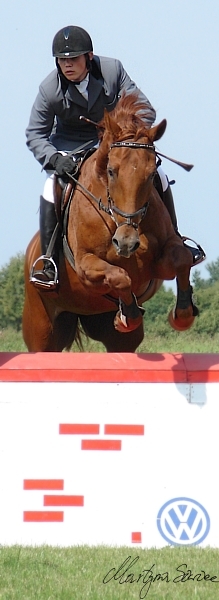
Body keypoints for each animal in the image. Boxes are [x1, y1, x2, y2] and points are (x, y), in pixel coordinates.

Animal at [22, 91, 198, 350]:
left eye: (151, 174)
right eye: (111, 171)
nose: (126, 243)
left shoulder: (160, 262)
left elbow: (182, 258)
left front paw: (181, 315)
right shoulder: (86, 266)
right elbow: (120, 277)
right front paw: (127, 315)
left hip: (110, 333)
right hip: (42, 331)